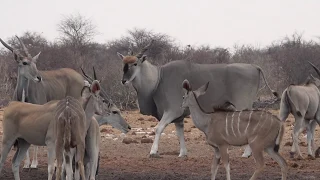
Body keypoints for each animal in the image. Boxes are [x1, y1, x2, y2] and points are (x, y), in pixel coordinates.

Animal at [0, 36, 85, 169]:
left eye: (35, 63)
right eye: (24, 63)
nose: (38, 77)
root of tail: (81, 78)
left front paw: (34, 163)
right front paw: (26, 163)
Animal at [116, 39, 276, 158]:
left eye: (135, 63)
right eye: (123, 64)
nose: (123, 81)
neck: (158, 78)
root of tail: (254, 66)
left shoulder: (172, 111)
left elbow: (158, 128)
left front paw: (153, 152)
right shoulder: (178, 117)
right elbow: (179, 132)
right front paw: (182, 154)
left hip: (242, 105)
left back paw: (246, 154)